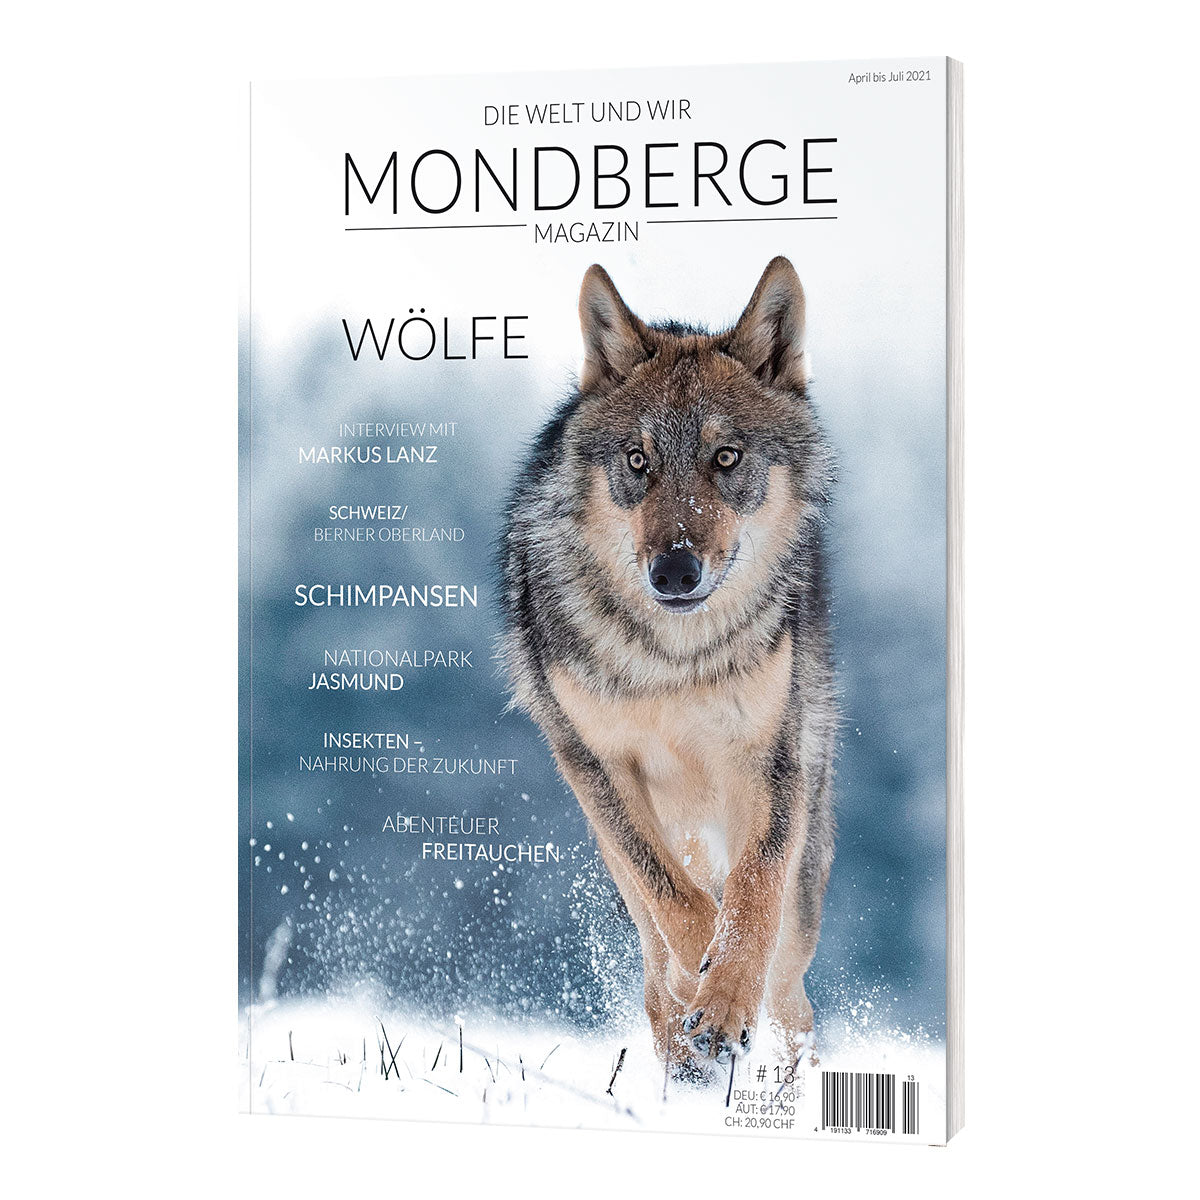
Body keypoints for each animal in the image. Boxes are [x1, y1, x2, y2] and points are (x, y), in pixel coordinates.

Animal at [501, 257, 836, 1072]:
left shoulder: (771, 758)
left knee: (793, 996)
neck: (672, 663)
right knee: (655, 939)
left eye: (726, 457)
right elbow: (675, 902)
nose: (675, 571)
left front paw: (726, 1001)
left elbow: (752, 897)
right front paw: (699, 993)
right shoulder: (595, 764)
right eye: (638, 462)